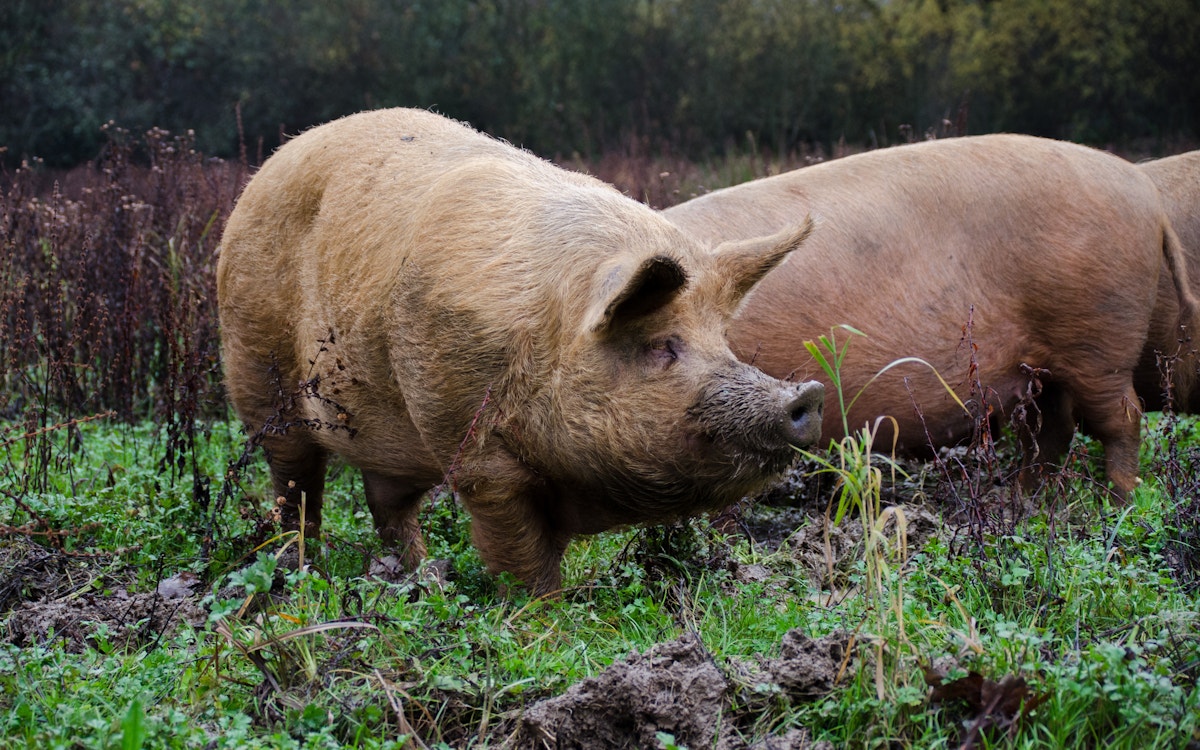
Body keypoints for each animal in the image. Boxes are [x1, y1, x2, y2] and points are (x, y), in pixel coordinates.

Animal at [216, 107, 824, 595]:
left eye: (722, 341)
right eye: (661, 346)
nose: (806, 393)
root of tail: (264, 171)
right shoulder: (467, 438)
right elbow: (517, 549)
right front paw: (543, 616)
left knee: (387, 502)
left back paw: (420, 579)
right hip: (255, 369)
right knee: (294, 484)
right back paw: (297, 571)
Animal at [663, 134, 1199, 500]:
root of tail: (1145, 195)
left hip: (1099, 339)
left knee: (1122, 420)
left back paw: (1118, 501)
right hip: (1047, 367)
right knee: (1052, 430)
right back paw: (1024, 499)